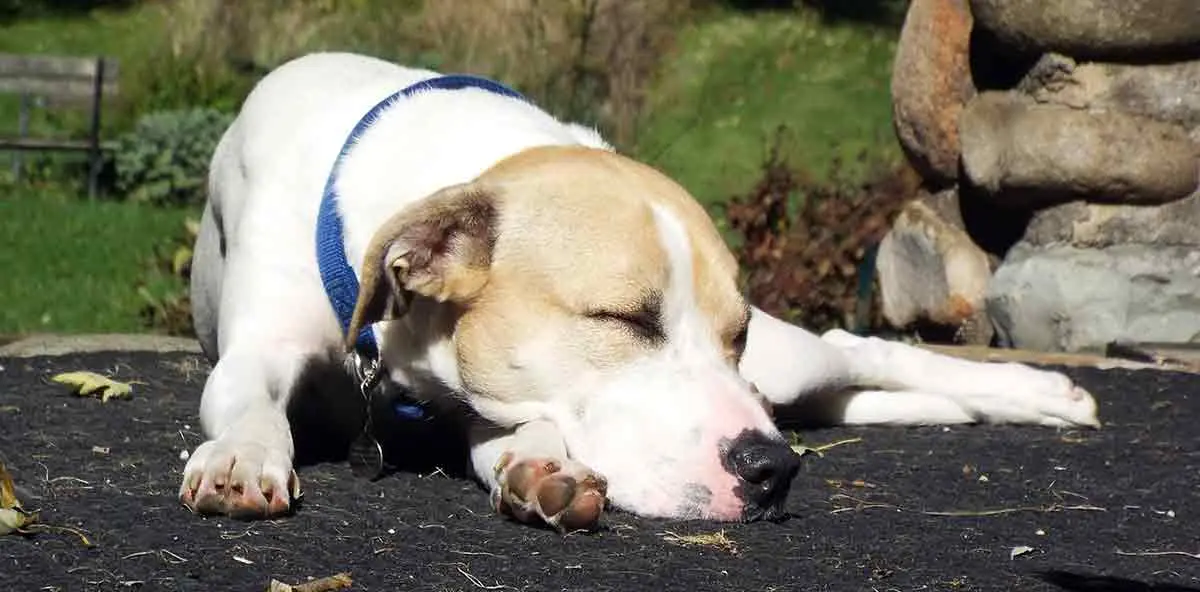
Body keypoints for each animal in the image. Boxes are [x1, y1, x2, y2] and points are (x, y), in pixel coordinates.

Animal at [177, 51, 1099, 530]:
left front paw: (537, 459)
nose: (772, 469)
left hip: (788, 365)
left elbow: (520, 425)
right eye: (623, 319)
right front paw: (242, 454)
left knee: (852, 348)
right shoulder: (258, 350)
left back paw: (1044, 393)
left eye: (733, 335)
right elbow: (244, 397)